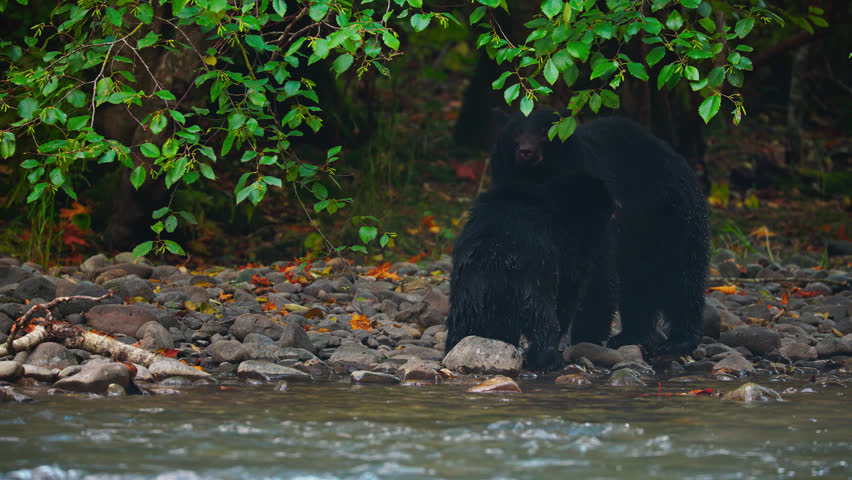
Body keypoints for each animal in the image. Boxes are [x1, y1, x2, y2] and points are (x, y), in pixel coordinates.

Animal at [445, 174, 616, 371]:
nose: (617, 206)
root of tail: (494, 248)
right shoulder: (567, 249)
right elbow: (568, 290)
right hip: (531, 279)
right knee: (542, 318)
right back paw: (546, 360)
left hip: (470, 282)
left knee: (464, 316)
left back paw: (456, 347)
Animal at [490, 109, 711, 357]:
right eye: (516, 132)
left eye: (543, 131)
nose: (526, 151)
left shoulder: (592, 211)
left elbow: (595, 271)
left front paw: (584, 336)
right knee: (637, 283)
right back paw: (631, 335)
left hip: (671, 213)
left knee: (681, 275)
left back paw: (679, 340)